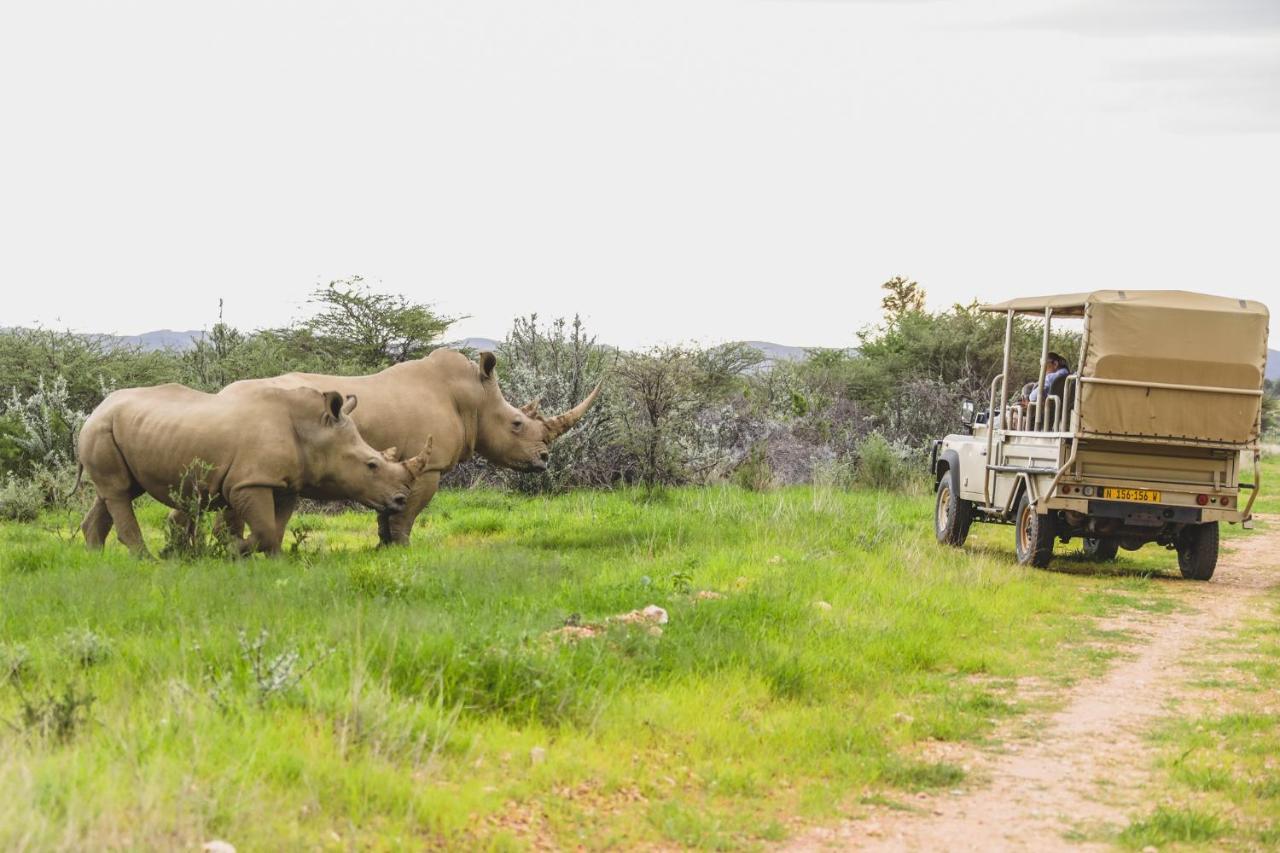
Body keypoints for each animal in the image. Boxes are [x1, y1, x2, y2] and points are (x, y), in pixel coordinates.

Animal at [217, 348, 601, 540]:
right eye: (517, 424)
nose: (545, 459)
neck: (473, 399)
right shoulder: (428, 466)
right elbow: (406, 514)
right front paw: (401, 548)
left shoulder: (394, 468)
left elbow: (387, 512)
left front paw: (382, 549)